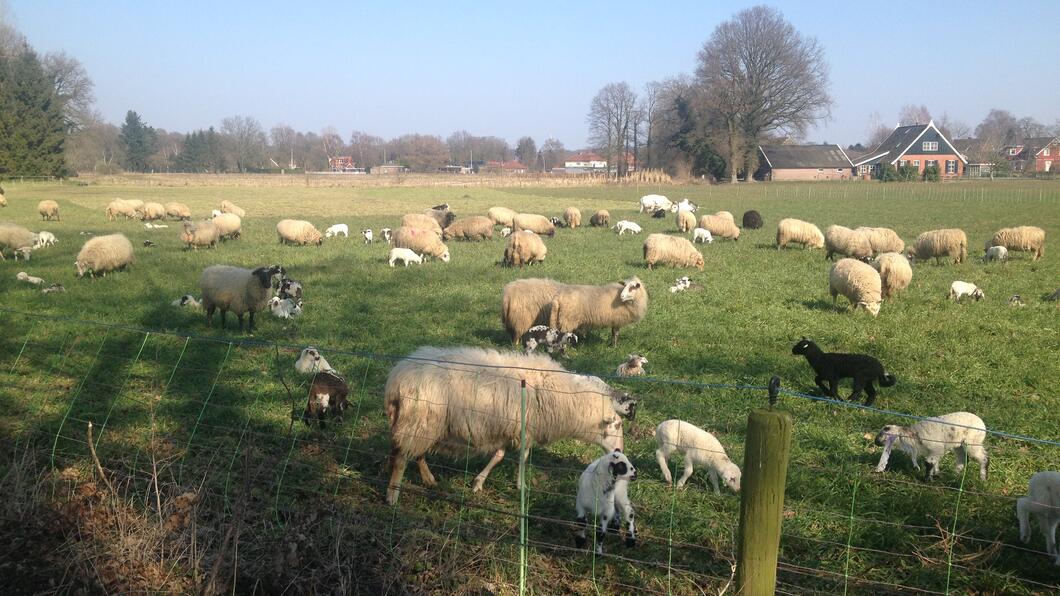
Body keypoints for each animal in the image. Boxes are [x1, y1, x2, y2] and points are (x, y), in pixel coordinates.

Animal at [387, 341, 635, 502]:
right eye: (617, 426)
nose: (620, 450)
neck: (566, 398)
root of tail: (397, 379)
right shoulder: (527, 429)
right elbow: (522, 459)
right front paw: (520, 486)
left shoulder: (511, 428)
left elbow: (498, 455)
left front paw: (478, 483)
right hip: (419, 421)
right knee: (401, 458)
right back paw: (393, 494)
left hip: (424, 425)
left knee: (416, 453)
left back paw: (429, 480)